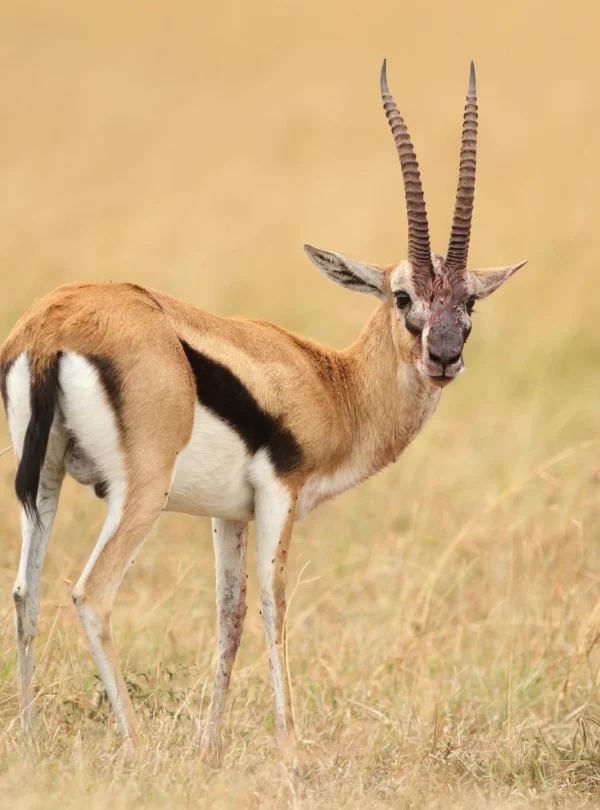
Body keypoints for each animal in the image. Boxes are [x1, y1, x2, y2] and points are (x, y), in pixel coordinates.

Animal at [0, 60, 525, 755]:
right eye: (402, 295)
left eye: (469, 300)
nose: (443, 357)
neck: (332, 382)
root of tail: (53, 325)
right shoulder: (282, 494)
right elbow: (275, 607)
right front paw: (293, 753)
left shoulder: (228, 515)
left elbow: (230, 615)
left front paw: (210, 747)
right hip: (139, 494)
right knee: (91, 593)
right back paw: (136, 746)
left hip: (46, 481)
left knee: (24, 593)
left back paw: (32, 740)